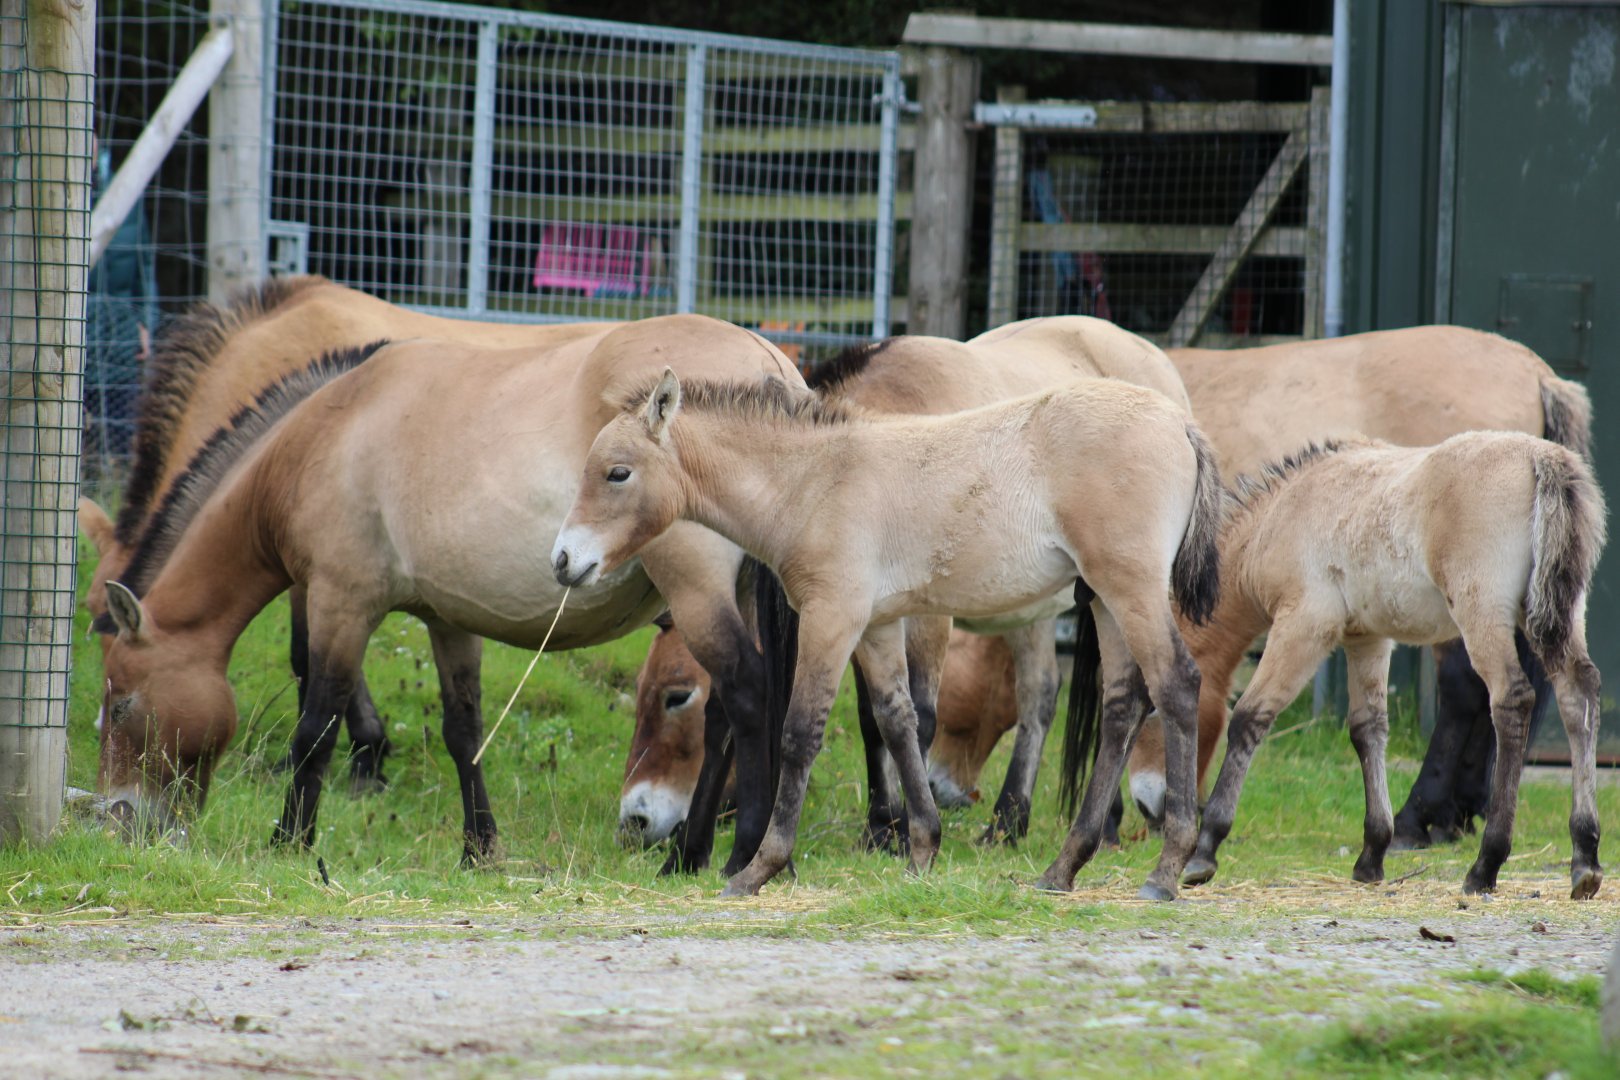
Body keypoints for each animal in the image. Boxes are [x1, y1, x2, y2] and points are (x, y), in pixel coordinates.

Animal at [95, 316, 805, 871]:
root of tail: (767, 363)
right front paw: (479, 850)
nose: (117, 819)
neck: (329, 432)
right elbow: (464, 732)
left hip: (698, 591)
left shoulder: (339, 603)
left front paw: (289, 841)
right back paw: (691, 856)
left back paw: (736, 854)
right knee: (725, 713)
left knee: (746, 694)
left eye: (123, 704)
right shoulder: (448, 620)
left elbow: (316, 726)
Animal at [554, 370, 1223, 899]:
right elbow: (897, 720)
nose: (563, 560)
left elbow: (801, 732)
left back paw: (1168, 868)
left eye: (617, 473)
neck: (815, 482)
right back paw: (1063, 868)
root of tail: (1182, 424)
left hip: (1130, 588)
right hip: (1105, 600)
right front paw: (922, 850)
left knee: (1176, 684)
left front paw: (758, 869)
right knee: (1124, 705)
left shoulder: (833, 616)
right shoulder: (876, 626)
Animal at [1172, 434, 1604, 899]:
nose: (1152, 809)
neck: (1283, 514)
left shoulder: (1305, 624)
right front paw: (1372, 856)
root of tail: (1543, 458)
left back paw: (1485, 865)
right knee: (1578, 694)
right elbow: (1368, 730)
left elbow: (1250, 717)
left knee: (1512, 700)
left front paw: (1204, 850)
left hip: (1482, 611)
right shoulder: (1367, 638)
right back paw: (1585, 858)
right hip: (1559, 616)